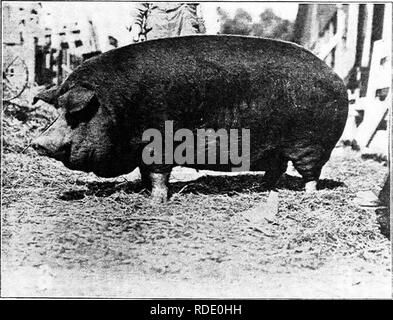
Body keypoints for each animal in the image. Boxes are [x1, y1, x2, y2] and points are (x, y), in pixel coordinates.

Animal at [32, 35, 348, 202]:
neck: (120, 109)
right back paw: (260, 188)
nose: (37, 142)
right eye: (58, 110)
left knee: (310, 173)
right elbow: (145, 174)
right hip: (276, 148)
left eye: (76, 113)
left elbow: (159, 174)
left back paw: (309, 196)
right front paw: (144, 192)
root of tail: (336, 76)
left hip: (312, 144)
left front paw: (156, 202)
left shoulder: (158, 144)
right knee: (276, 169)